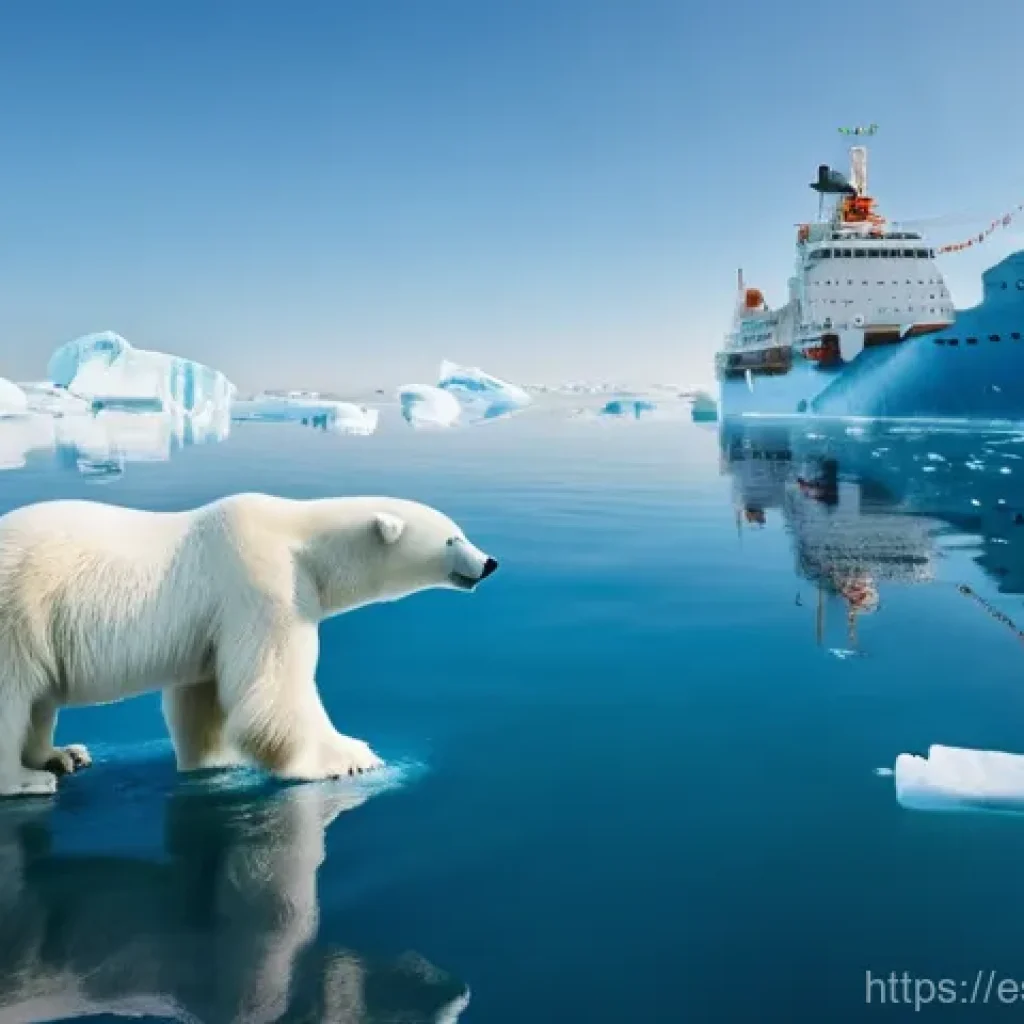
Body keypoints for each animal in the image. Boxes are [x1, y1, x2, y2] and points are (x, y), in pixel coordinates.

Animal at [0, 493, 499, 797]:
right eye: (452, 537)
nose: (489, 562)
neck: (302, 539)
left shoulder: (209, 623)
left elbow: (199, 698)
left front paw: (212, 761)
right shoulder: (263, 582)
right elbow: (273, 689)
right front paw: (349, 756)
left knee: (40, 700)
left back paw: (62, 756)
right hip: (18, 607)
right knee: (13, 695)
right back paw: (28, 780)